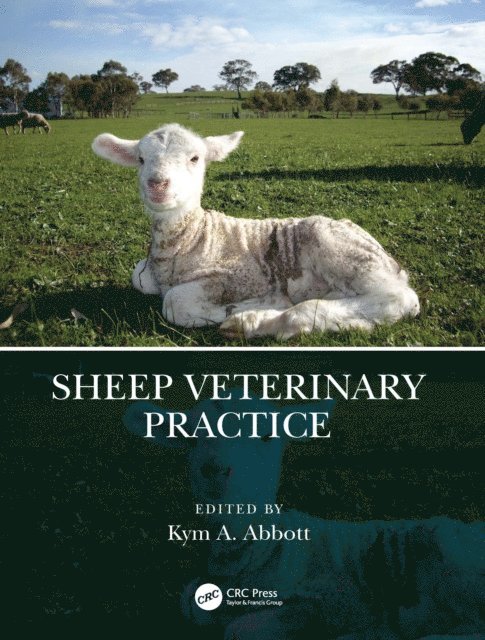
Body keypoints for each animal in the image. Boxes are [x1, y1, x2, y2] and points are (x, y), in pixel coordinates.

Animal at [92, 124, 419, 340]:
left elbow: (173, 302)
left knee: (398, 299)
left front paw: (236, 308)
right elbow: (138, 278)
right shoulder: (146, 273)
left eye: (195, 158)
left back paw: (253, 320)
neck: (191, 239)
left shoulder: (235, 277)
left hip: (340, 249)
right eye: (140, 159)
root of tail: (391, 262)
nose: (157, 184)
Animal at [124, 394, 484, 640]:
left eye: (267, 435)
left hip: (453, 560)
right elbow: (190, 607)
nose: (214, 469)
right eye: (189, 437)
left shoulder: (335, 598)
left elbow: (239, 629)